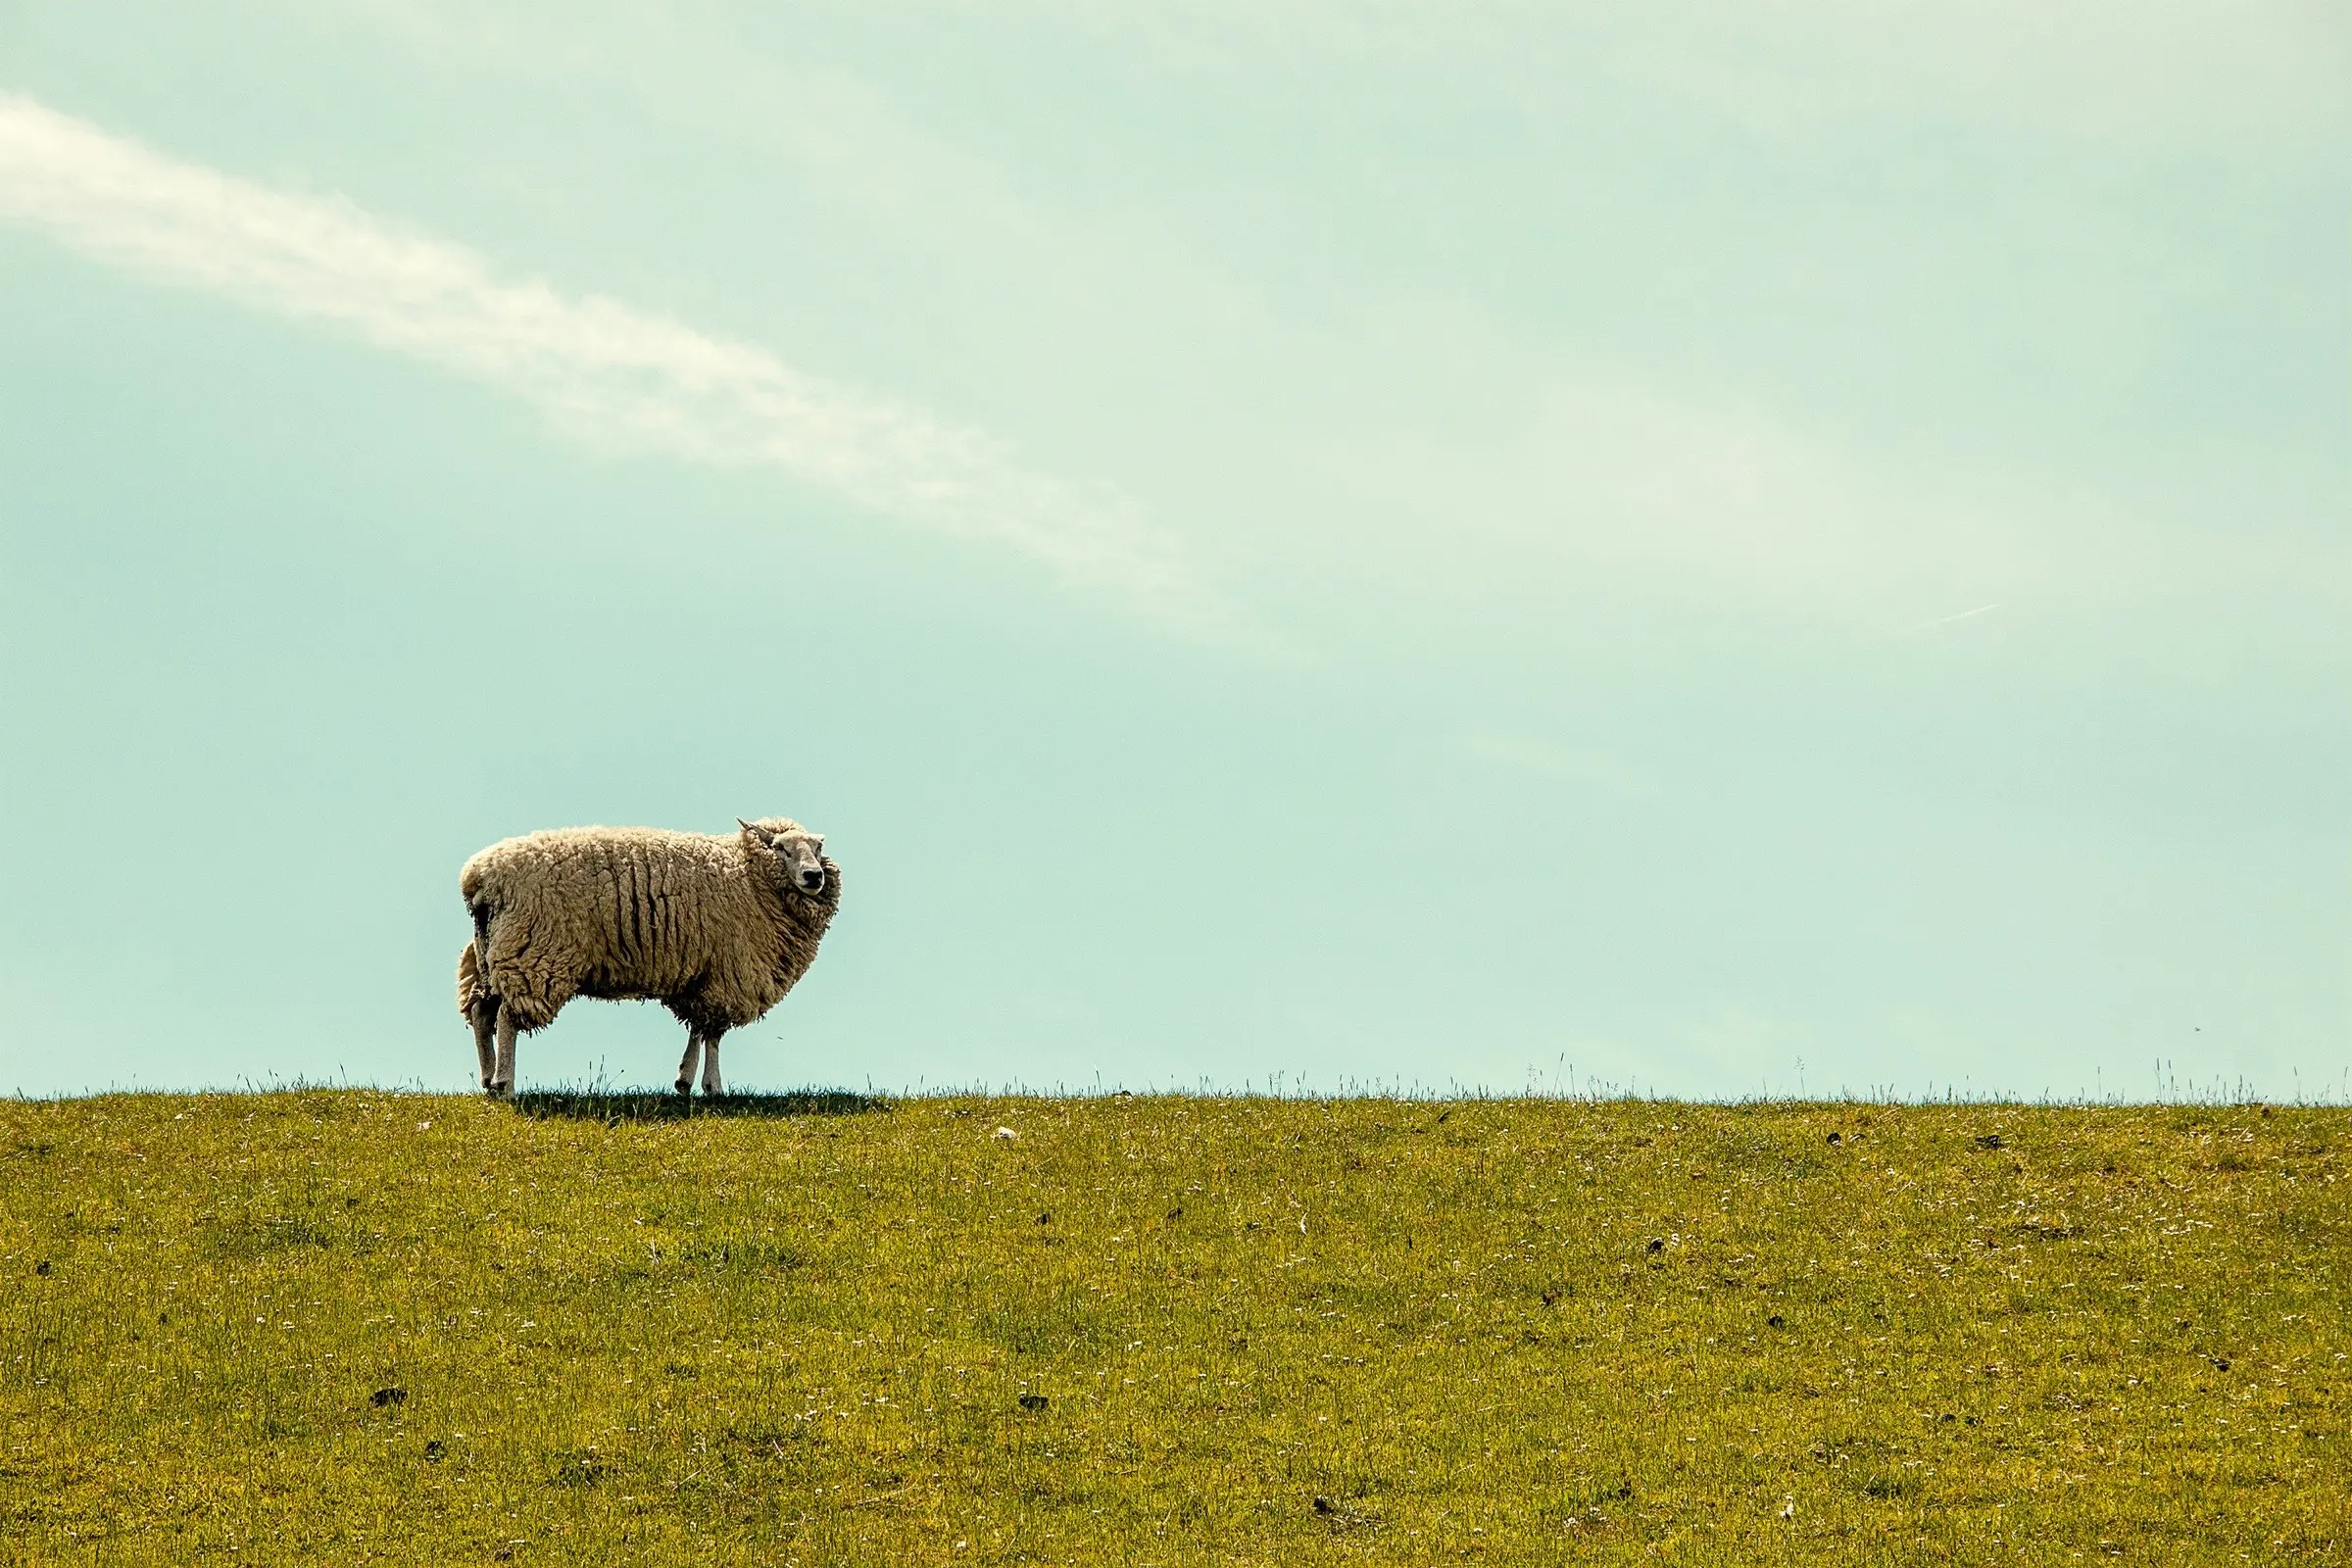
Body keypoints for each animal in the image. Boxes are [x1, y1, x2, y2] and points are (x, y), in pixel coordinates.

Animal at [455, 817, 841, 1098]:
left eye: (818, 847)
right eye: (780, 848)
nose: (814, 876)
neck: (747, 875)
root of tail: (478, 877)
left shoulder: (699, 977)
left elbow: (699, 1028)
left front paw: (685, 1081)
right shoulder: (727, 975)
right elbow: (713, 1033)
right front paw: (713, 1086)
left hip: (492, 953)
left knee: (482, 1012)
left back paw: (488, 1080)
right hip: (533, 954)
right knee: (507, 1017)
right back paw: (505, 1084)